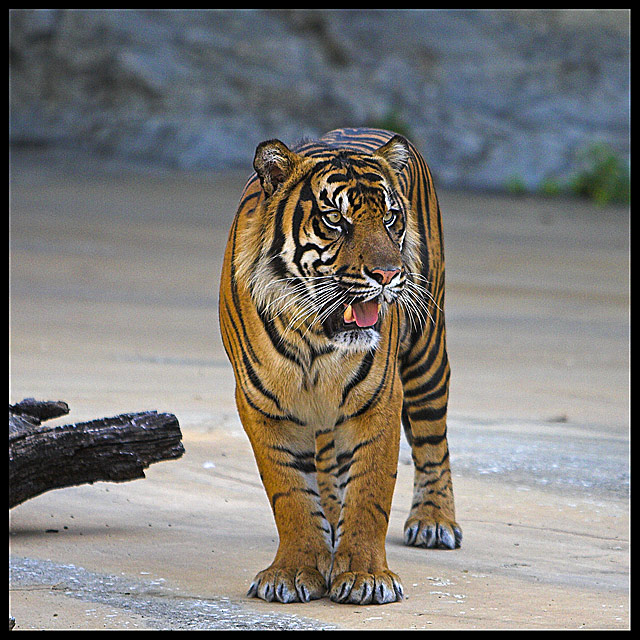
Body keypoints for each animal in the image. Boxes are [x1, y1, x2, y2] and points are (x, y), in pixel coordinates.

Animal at [219, 127, 461, 605]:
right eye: (336, 220)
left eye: (390, 217)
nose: (388, 275)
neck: (314, 339)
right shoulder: (261, 405)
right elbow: (290, 494)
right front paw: (293, 571)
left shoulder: (380, 398)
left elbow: (370, 490)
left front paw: (367, 576)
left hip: (426, 353)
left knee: (432, 440)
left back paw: (434, 521)